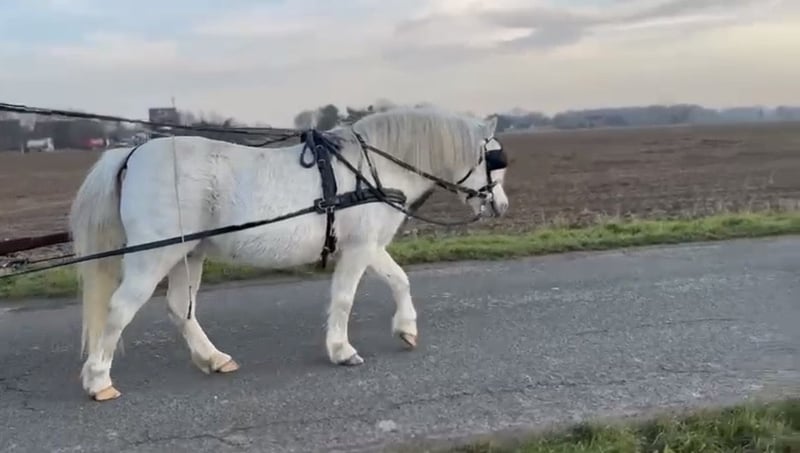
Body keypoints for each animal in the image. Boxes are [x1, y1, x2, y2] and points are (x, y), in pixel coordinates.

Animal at [68, 105, 510, 401]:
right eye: (494, 160)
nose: (501, 206)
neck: (371, 170)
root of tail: (132, 153)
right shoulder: (359, 248)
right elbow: (344, 298)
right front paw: (341, 350)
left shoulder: (367, 244)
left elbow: (399, 280)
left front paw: (406, 329)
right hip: (154, 255)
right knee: (120, 308)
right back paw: (98, 380)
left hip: (186, 254)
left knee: (180, 308)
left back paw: (213, 358)